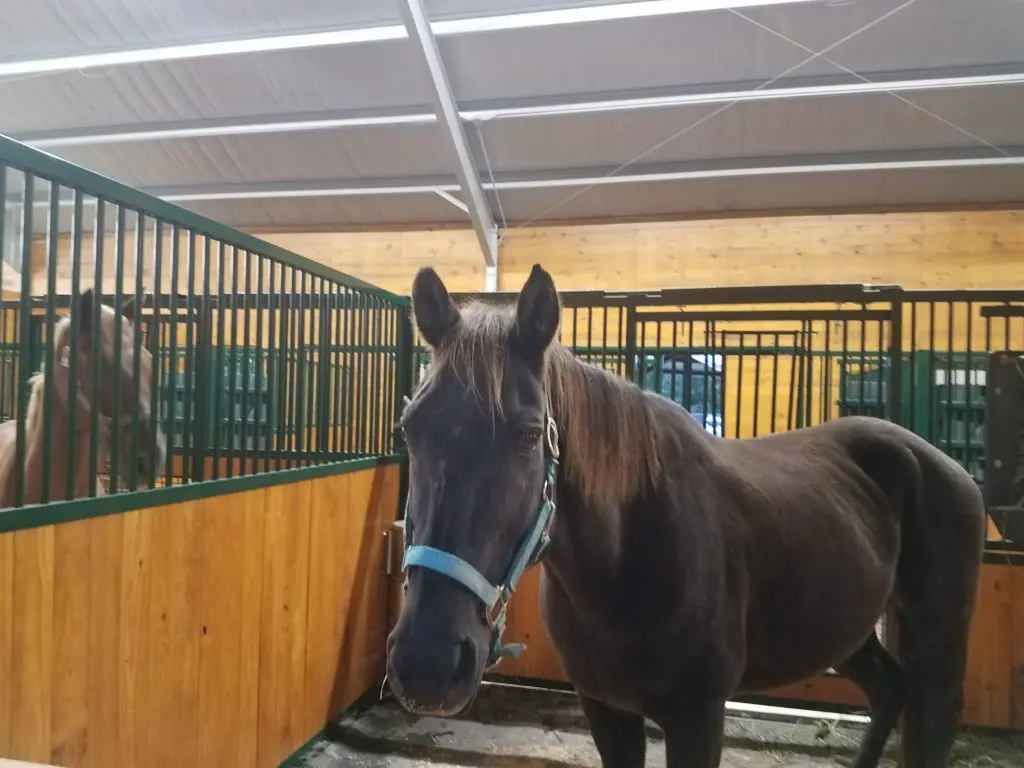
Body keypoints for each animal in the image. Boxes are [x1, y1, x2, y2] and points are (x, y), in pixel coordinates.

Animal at [385, 265, 986, 768]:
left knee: (933, 715)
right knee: (890, 690)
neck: (625, 560)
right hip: (847, 625)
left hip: (940, 630)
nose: (426, 662)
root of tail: (939, 460)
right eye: (409, 428)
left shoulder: (698, 715)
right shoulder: (605, 709)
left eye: (530, 436)